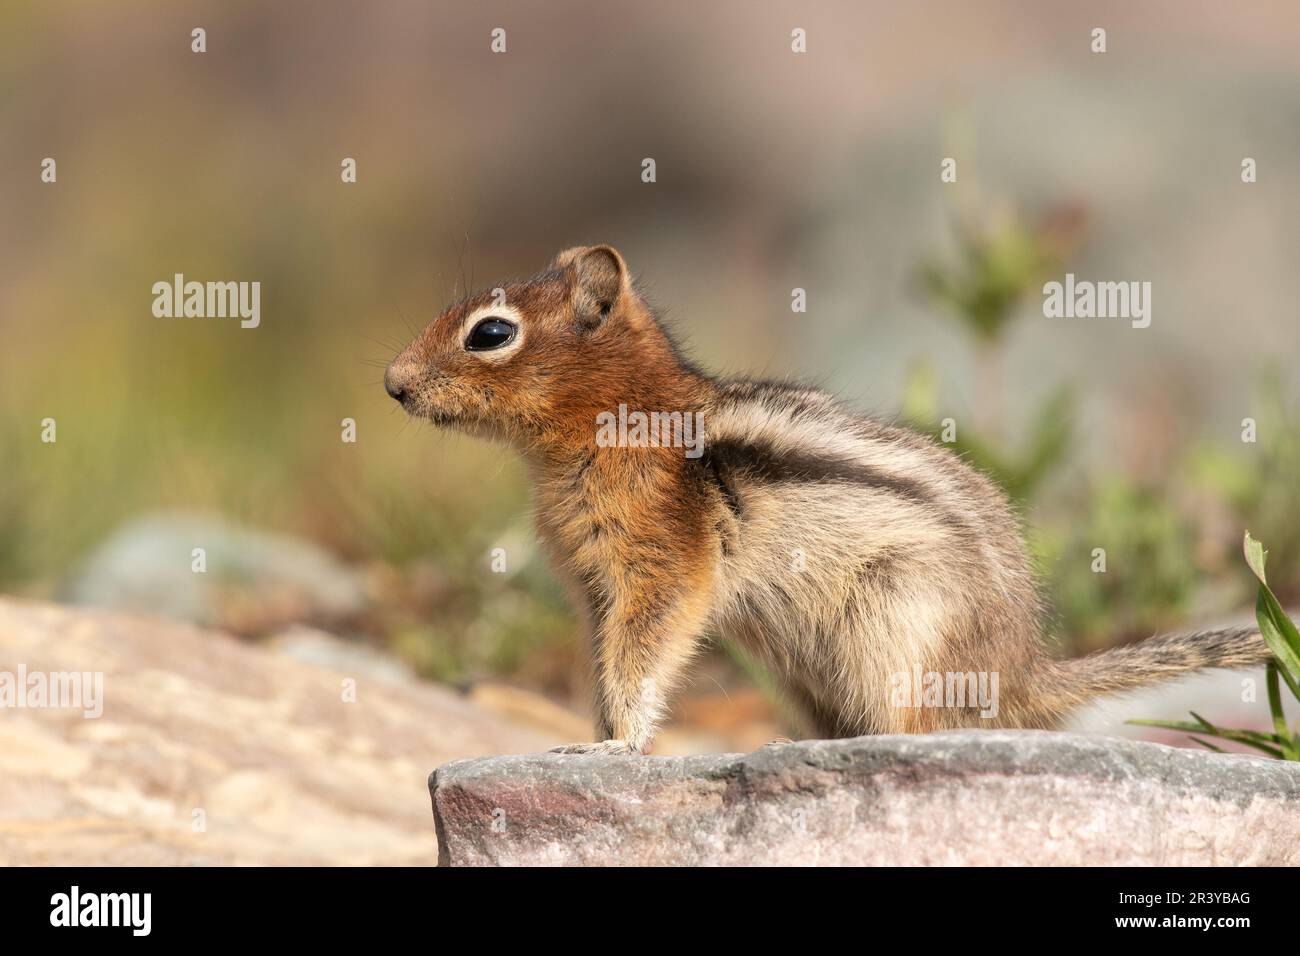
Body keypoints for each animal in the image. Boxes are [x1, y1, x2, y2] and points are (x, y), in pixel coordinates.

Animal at [385, 245, 1270, 755]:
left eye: (491, 334)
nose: (391, 384)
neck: (621, 421)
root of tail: (1021, 671)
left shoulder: (660, 568)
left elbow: (643, 657)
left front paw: (616, 745)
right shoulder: (594, 589)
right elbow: (604, 665)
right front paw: (594, 736)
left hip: (892, 632)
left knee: (919, 731)